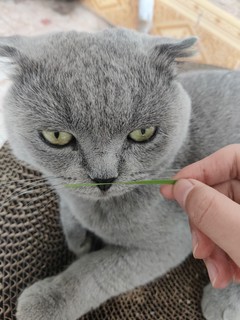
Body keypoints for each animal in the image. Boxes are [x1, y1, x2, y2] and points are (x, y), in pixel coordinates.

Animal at [0, 28, 240, 318]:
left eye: (143, 133)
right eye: (57, 136)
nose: (104, 177)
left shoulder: (171, 243)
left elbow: (96, 270)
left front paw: (47, 301)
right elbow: (66, 205)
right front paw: (79, 239)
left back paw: (223, 302)